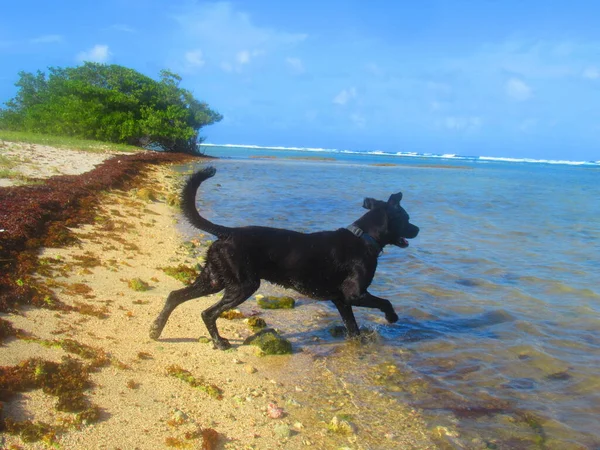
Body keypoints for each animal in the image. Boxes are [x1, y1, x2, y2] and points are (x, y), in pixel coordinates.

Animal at [151, 167, 418, 350]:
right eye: (406, 218)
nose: (417, 229)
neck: (364, 238)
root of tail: (227, 232)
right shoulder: (355, 294)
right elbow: (385, 302)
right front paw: (392, 317)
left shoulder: (341, 300)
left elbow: (353, 327)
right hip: (243, 284)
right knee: (208, 313)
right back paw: (219, 342)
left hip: (214, 278)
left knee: (175, 296)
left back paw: (155, 329)